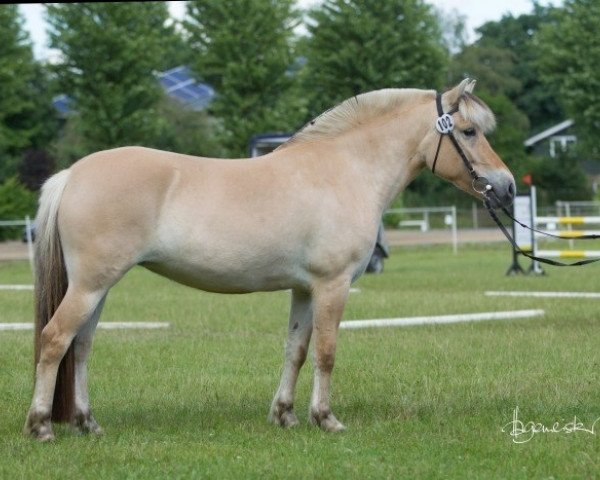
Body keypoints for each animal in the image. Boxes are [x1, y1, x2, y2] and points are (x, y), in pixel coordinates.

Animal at [22, 79, 510, 442]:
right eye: (469, 132)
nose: (505, 187)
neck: (346, 171)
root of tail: (72, 175)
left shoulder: (304, 289)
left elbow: (296, 350)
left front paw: (285, 415)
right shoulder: (333, 285)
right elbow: (326, 352)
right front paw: (326, 418)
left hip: (97, 288)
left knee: (81, 347)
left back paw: (88, 423)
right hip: (90, 286)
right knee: (54, 340)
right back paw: (41, 425)